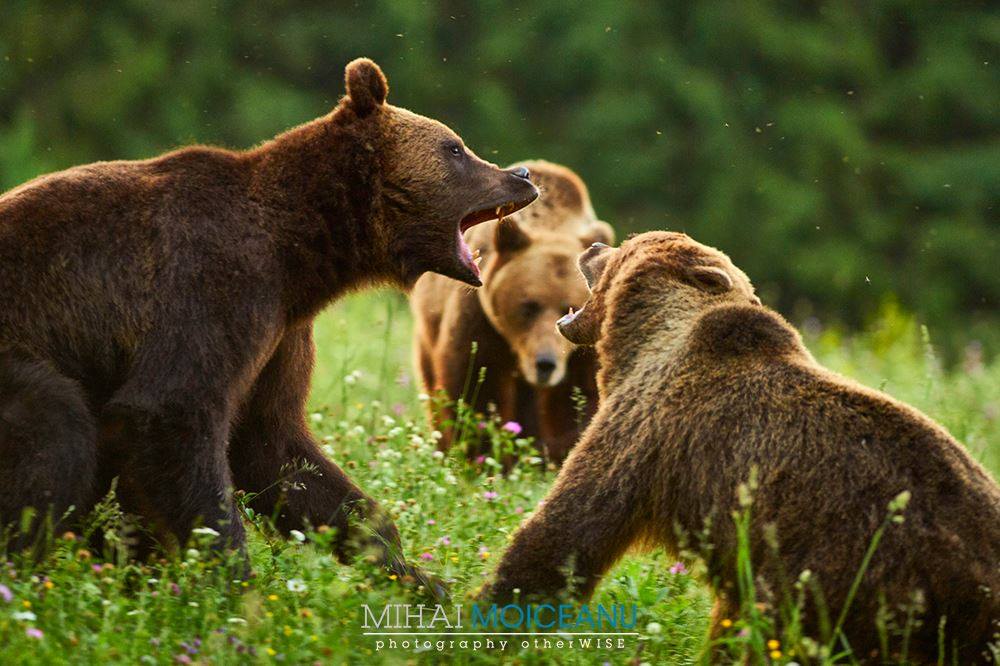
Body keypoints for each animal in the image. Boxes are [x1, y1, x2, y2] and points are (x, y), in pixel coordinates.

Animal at [0, 55, 540, 588]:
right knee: (56, 424)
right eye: (455, 147)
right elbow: (173, 411)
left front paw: (410, 572)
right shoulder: (216, 285)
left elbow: (275, 447)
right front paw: (231, 579)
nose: (522, 174)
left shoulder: (280, 331)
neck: (298, 247)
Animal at [408, 161, 612, 462]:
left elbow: (578, 398)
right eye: (528, 306)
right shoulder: (480, 321)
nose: (545, 363)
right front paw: (483, 455)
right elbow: (475, 387)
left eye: (569, 306)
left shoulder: (580, 352)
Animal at [484, 232, 1000, 660]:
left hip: (850, 566)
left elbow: (567, 530)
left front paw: (494, 612)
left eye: (626, 243)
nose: (591, 245)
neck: (647, 338)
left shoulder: (646, 427)